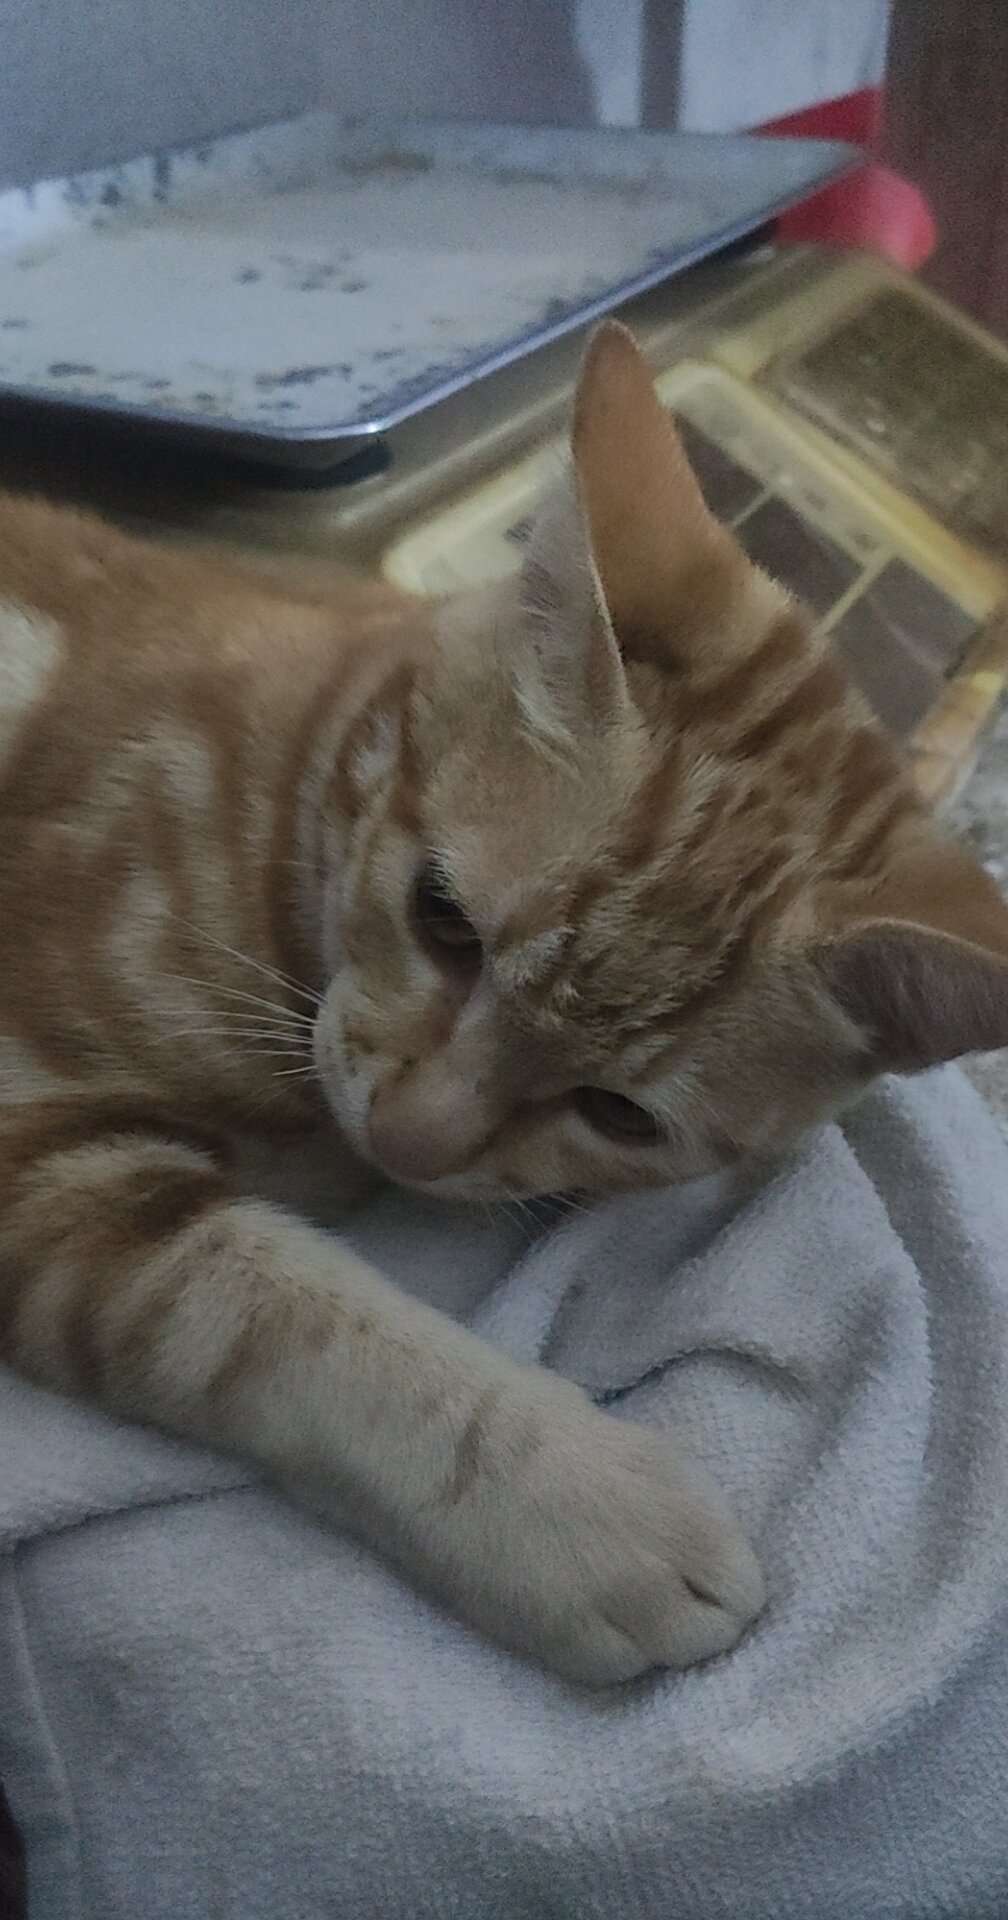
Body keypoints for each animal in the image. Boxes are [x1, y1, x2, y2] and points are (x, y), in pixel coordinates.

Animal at [1, 320, 1007, 1686]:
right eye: (444, 920)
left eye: (620, 1116)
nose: (409, 1140)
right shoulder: (36, 1149)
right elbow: (270, 1319)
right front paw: (582, 1510)